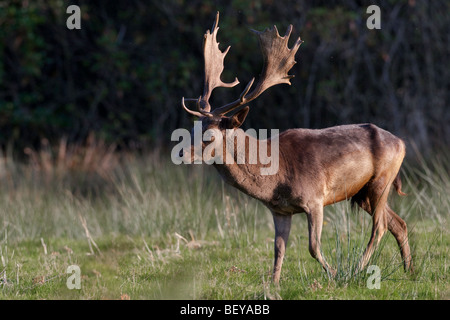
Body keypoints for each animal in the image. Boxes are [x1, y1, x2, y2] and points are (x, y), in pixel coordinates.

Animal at [178, 11, 412, 284]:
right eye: (193, 128)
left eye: (209, 135)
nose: (181, 153)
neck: (275, 175)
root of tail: (401, 142)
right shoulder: (280, 210)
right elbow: (278, 250)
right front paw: (273, 284)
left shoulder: (315, 198)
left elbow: (313, 247)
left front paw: (334, 275)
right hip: (362, 192)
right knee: (398, 223)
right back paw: (410, 270)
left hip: (381, 181)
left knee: (380, 227)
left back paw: (358, 268)